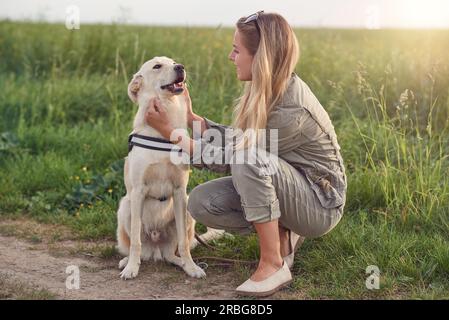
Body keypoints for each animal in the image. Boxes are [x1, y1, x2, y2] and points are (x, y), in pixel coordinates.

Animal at [116, 57, 223, 280]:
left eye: (173, 62)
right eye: (157, 66)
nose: (180, 67)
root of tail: (156, 249)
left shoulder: (180, 192)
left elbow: (183, 243)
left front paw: (191, 267)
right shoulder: (138, 192)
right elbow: (135, 242)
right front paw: (131, 269)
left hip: (188, 210)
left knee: (173, 252)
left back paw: (182, 262)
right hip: (126, 207)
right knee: (136, 246)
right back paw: (127, 262)